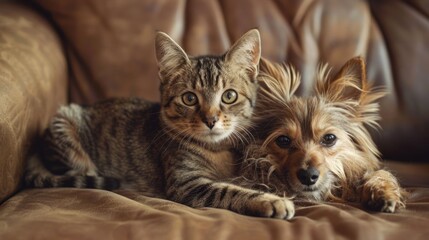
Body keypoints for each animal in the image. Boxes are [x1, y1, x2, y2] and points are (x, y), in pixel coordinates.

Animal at [25, 29, 294, 219]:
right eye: (189, 98)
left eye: (229, 96)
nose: (210, 120)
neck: (218, 151)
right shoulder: (187, 184)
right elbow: (227, 190)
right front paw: (271, 200)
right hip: (66, 132)